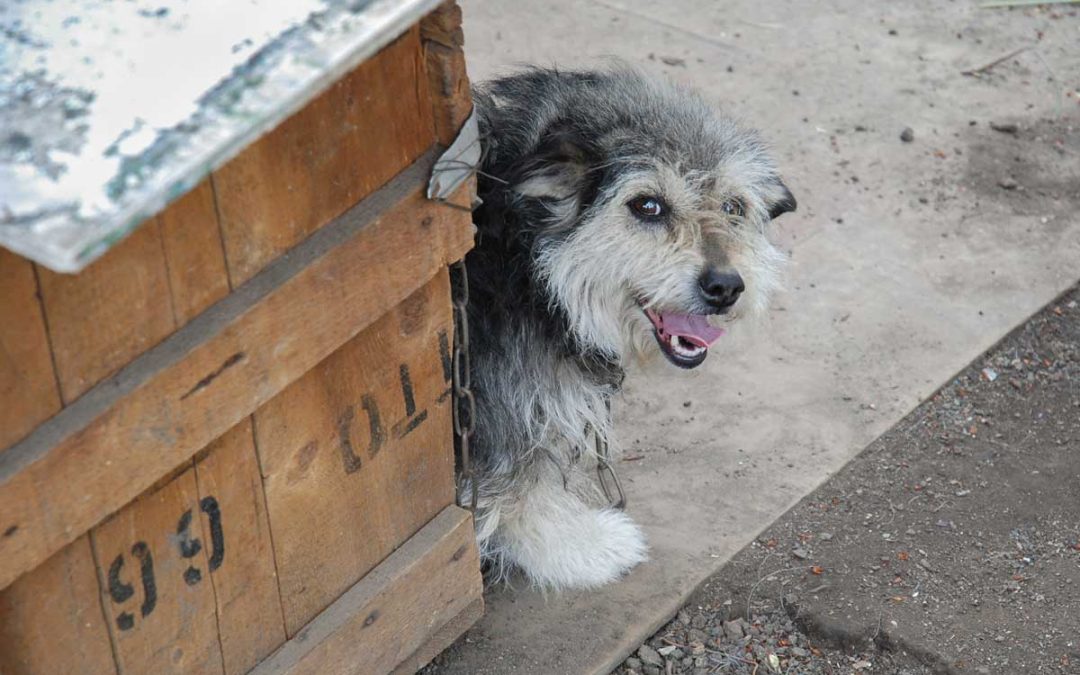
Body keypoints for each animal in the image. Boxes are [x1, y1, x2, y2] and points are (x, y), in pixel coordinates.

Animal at [462, 65, 794, 587]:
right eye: (647, 205)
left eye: (734, 207)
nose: (725, 286)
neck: (523, 264)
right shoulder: (497, 404)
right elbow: (519, 477)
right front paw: (574, 546)